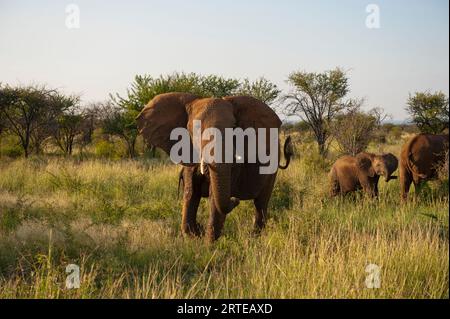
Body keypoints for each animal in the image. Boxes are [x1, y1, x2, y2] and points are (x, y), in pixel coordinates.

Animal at [135, 92, 294, 242]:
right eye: (195, 129)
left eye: (234, 128)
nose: (235, 199)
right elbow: (191, 192)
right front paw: (193, 237)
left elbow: (214, 198)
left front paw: (208, 245)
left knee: (261, 203)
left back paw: (254, 238)